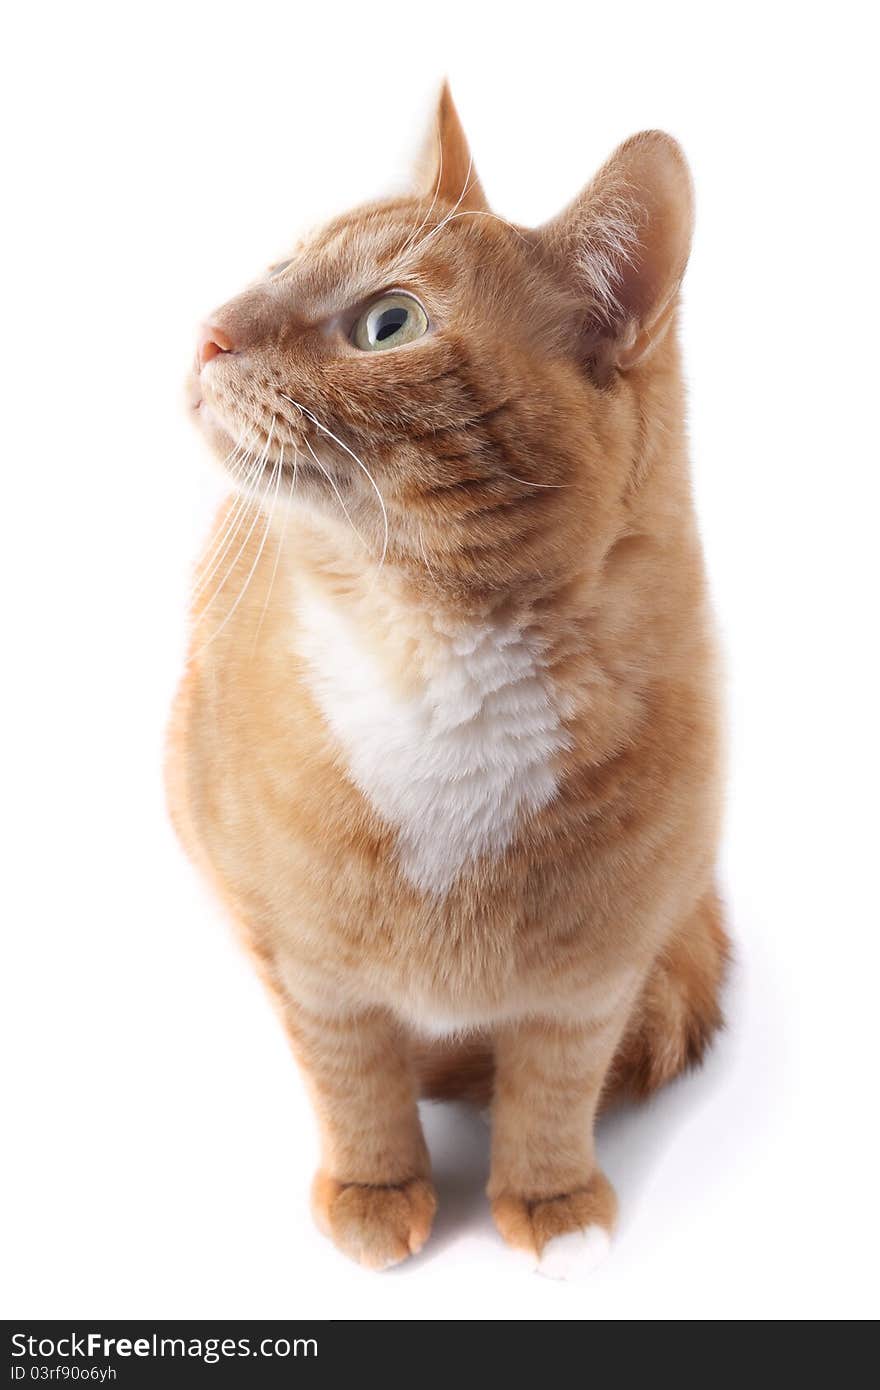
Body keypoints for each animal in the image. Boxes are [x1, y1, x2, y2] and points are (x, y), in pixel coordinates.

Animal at [166, 84, 728, 1278]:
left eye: (389, 324)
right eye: (281, 261)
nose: (208, 330)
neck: (437, 665)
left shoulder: (595, 978)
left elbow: (554, 1093)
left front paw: (551, 1200)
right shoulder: (311, 972)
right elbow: (355, 1086)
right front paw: (377, 1192)